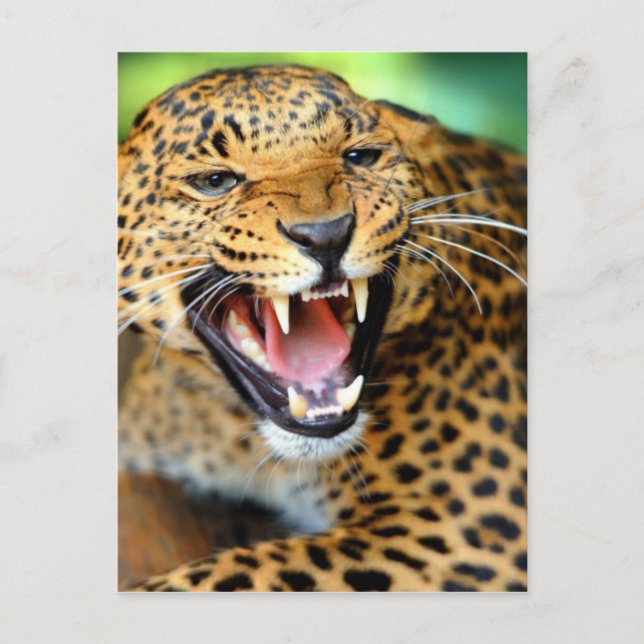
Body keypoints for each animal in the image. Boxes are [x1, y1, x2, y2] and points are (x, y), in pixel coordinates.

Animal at [118, 64, 527, 592]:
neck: (239, 438)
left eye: (361, 157)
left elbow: (229, 571)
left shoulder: (470, 529)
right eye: (215, 181)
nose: (325, 235)